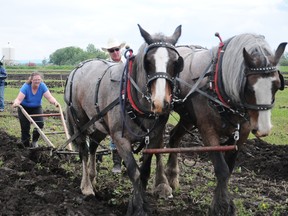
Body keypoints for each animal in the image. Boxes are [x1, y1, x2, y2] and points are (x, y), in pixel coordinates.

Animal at [64, 24, 183, 215]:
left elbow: (144, 172)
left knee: (93, 145)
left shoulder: (153, 138)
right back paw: (87, 186)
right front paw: (138, 208)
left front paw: (139, 204)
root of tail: (78, 68)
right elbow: (134, 172)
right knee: (83, 150)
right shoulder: (120, 140)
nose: (160, 103)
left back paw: (93, 177)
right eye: (148, 62)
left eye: (175, 62)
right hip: (79, 121)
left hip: (100, 123)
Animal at [164, 33, 286, 215]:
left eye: (277, 86)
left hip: (188, 118)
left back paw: (172, 177)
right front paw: (220, 206)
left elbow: (229, 169)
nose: (263, 130)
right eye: (249, 88)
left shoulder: (241, 134)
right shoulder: (207, 130)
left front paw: (226, 204)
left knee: (173, 137)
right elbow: (221, 169)